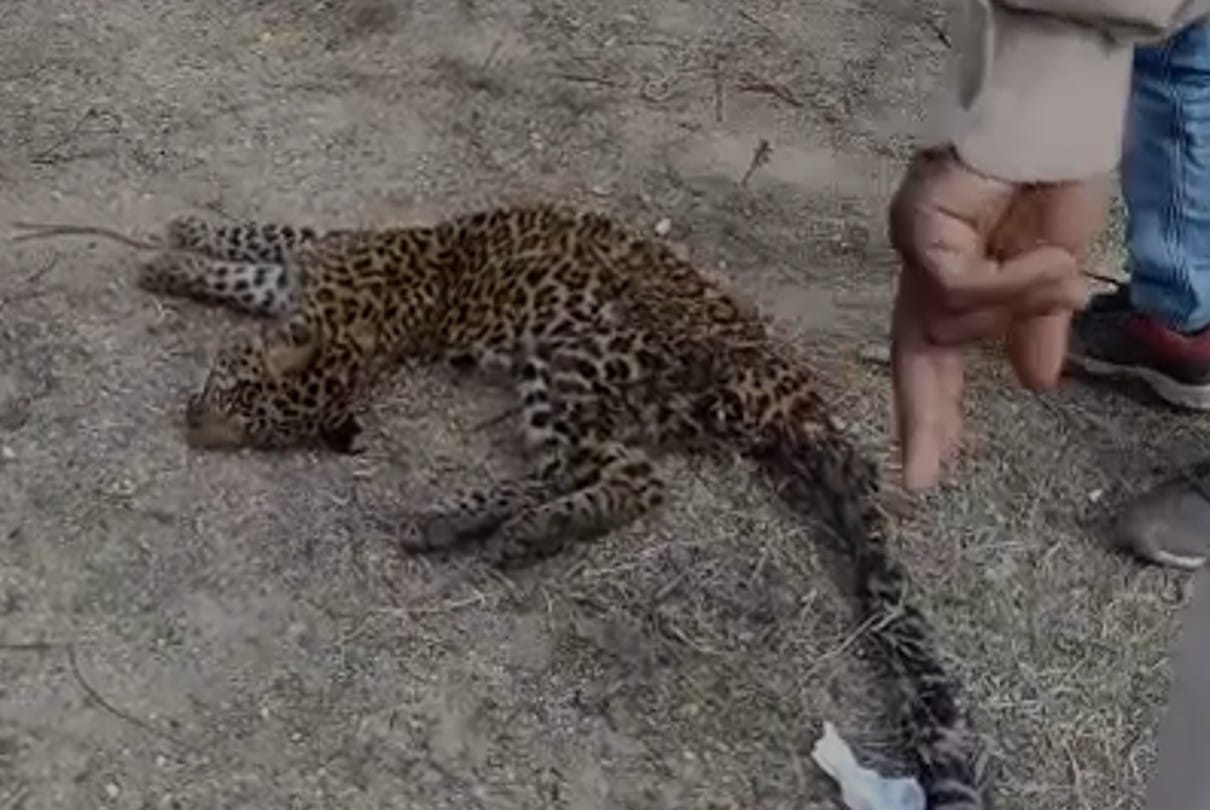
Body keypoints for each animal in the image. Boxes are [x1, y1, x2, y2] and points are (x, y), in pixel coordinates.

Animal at [14, 204, 992, 808]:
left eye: (248, 416)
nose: (196, 428)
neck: (354, 330)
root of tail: (790, 391)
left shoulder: (324, 252)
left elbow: (262, 237)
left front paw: (177, 248)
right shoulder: (310, 282)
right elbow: (255, 264)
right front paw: (183, 254)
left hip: (575, 358)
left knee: (627, 478)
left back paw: (487, 526)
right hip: (579, 391)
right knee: (605, 474)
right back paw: (483, 525)